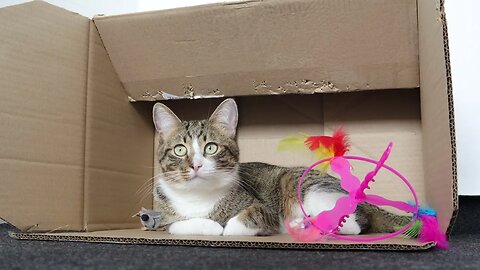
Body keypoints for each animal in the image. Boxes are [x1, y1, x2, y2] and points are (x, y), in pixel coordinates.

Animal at [152, 98, 406, 235]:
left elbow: (240, 222)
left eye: (211, 148)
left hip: (302, 184)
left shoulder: (263, 207)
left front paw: (225, 227)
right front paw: (210, 226)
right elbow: (174, 225)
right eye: (180, 150)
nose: (195, 165)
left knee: (353, 223)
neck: (198, 197)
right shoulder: (162, 220)